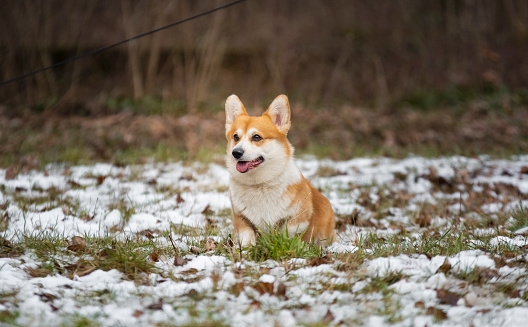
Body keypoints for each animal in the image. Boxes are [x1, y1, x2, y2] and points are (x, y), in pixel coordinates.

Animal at [224, 93, 334, 247]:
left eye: (256, 137)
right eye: (235, 137)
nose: (236, 152)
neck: (259, 185)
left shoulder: (299, 217)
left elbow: (287, 231)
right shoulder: (240, 219)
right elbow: (248, 236)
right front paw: (246, 250)